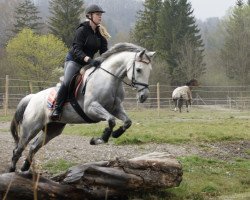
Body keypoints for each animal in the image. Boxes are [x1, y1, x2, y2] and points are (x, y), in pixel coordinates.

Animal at [8, 42, 155, 172]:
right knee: (18, 148)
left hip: (53, 129)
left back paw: (25, 167)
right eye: (139, 70)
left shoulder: (115, 108)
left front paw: (116, 133)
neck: (110, 79)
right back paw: (12, 169)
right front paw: (99, 139)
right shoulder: (91, 108)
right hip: (31, 127)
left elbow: (127, 122)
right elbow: (111, 120)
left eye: (149, 71)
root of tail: (32, 97)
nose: (144, 96)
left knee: (33, 147)